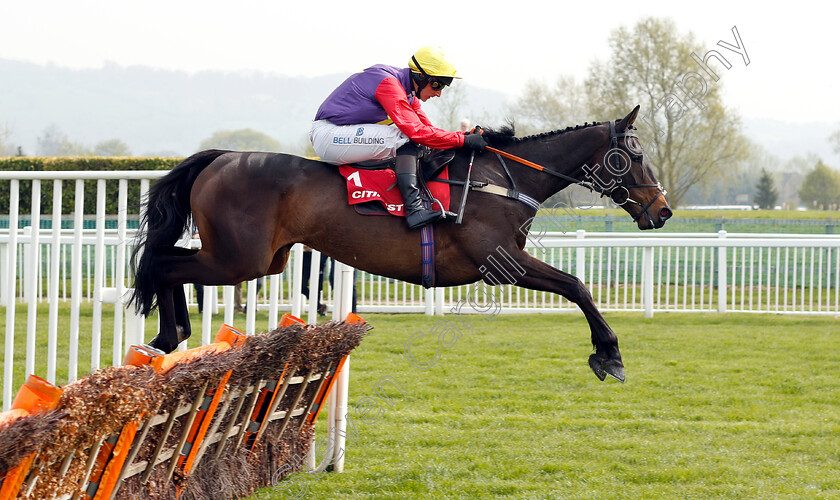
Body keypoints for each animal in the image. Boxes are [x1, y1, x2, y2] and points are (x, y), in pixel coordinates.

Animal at [130, 103, 668, 380]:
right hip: (239, 258)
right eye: (636, 156)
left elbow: (575, 286)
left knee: (166, 260)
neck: (504, 178)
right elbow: (577, 285)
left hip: (258, 259)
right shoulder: (501, 263)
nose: (662, 211)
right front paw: (609, 354)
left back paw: (172, 338)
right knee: (164, 265)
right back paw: (169, 335)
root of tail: (221, 156)